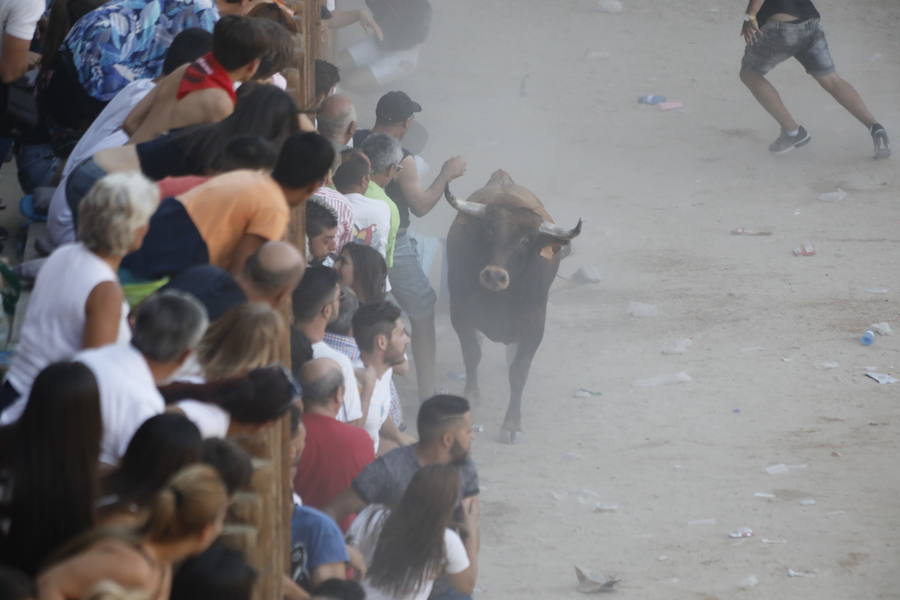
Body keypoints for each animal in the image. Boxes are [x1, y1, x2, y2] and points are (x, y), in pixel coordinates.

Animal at [444, 169, 584, 440]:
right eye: (489, 230)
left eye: (526, 239)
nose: (494, 275)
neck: (501, 299)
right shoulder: (461, 315)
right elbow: (472, 354)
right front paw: (472, 395)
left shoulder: (534, 329)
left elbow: (518, 373)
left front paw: (511, 424)